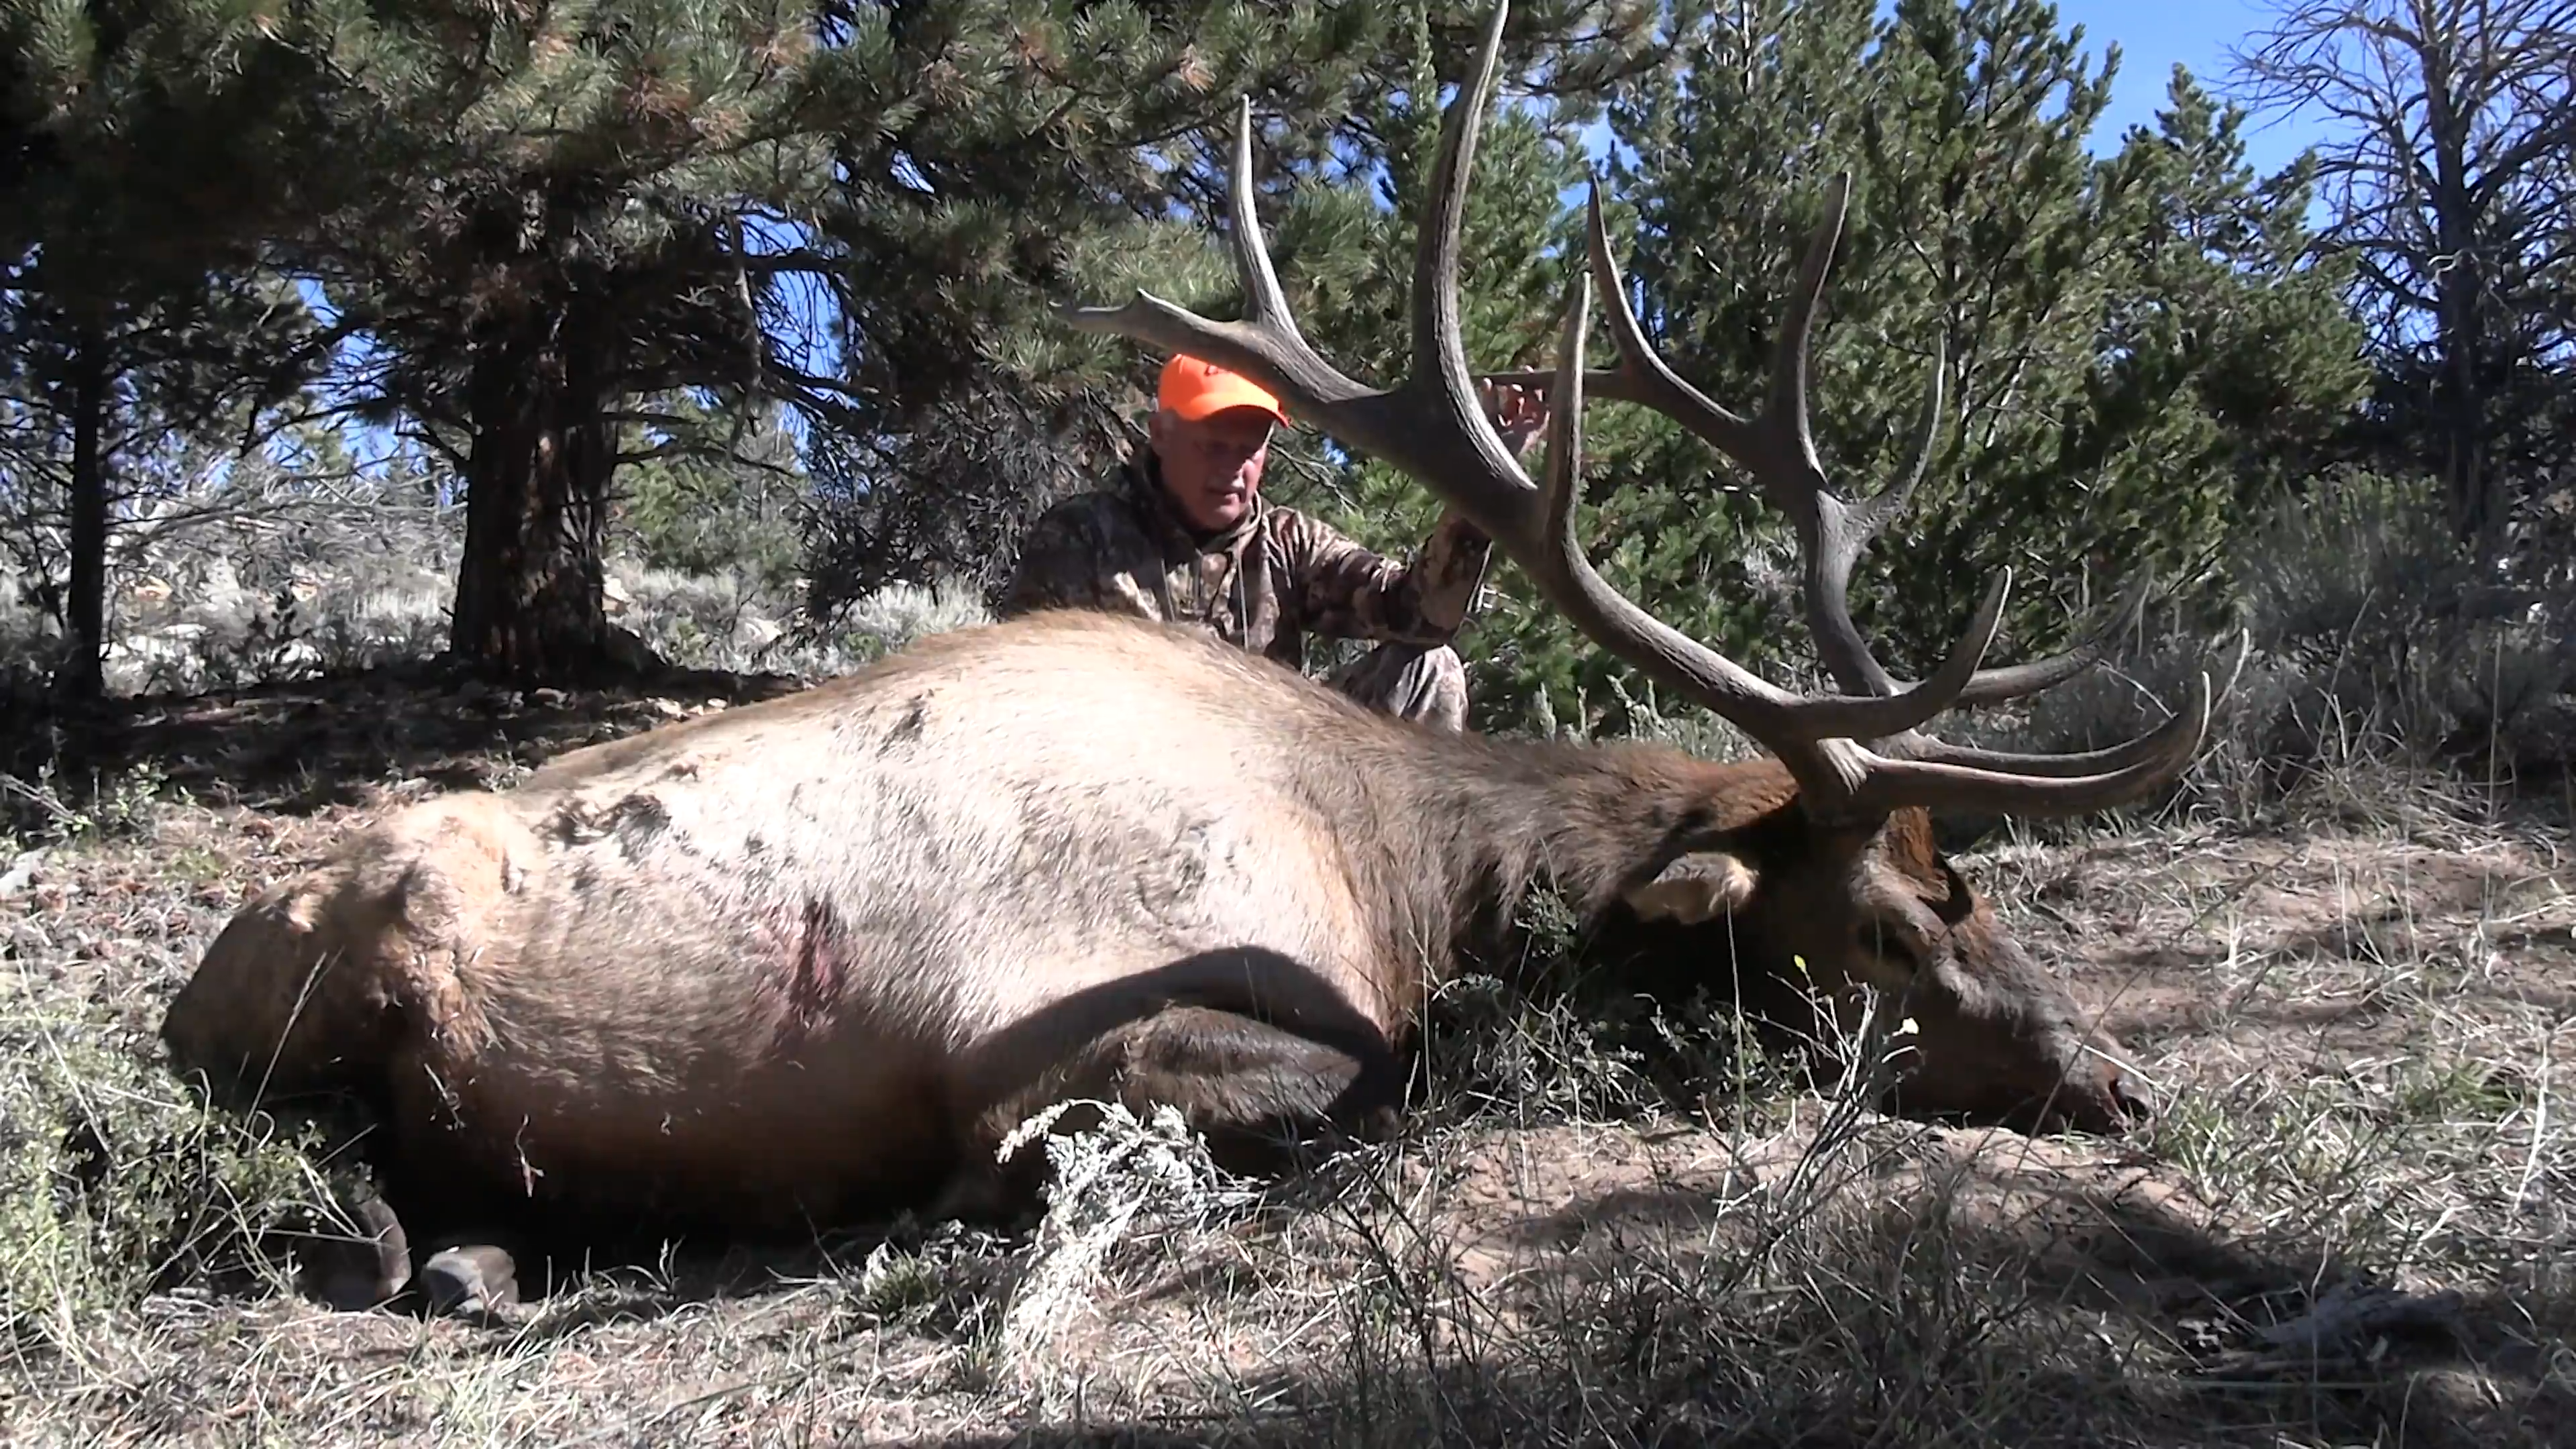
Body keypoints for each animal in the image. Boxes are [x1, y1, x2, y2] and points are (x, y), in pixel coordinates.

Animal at [157, 0, 2240, 1314]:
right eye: (1888, 927)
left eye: (1975, 890)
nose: (2121, 1081)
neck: (1416, 883)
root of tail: (198, 958)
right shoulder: (1061, 1036)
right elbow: (1345, 1091)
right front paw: (966, 1202)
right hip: (315, 986)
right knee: (299, 1158)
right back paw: (409, 1243)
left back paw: (490, 1253)